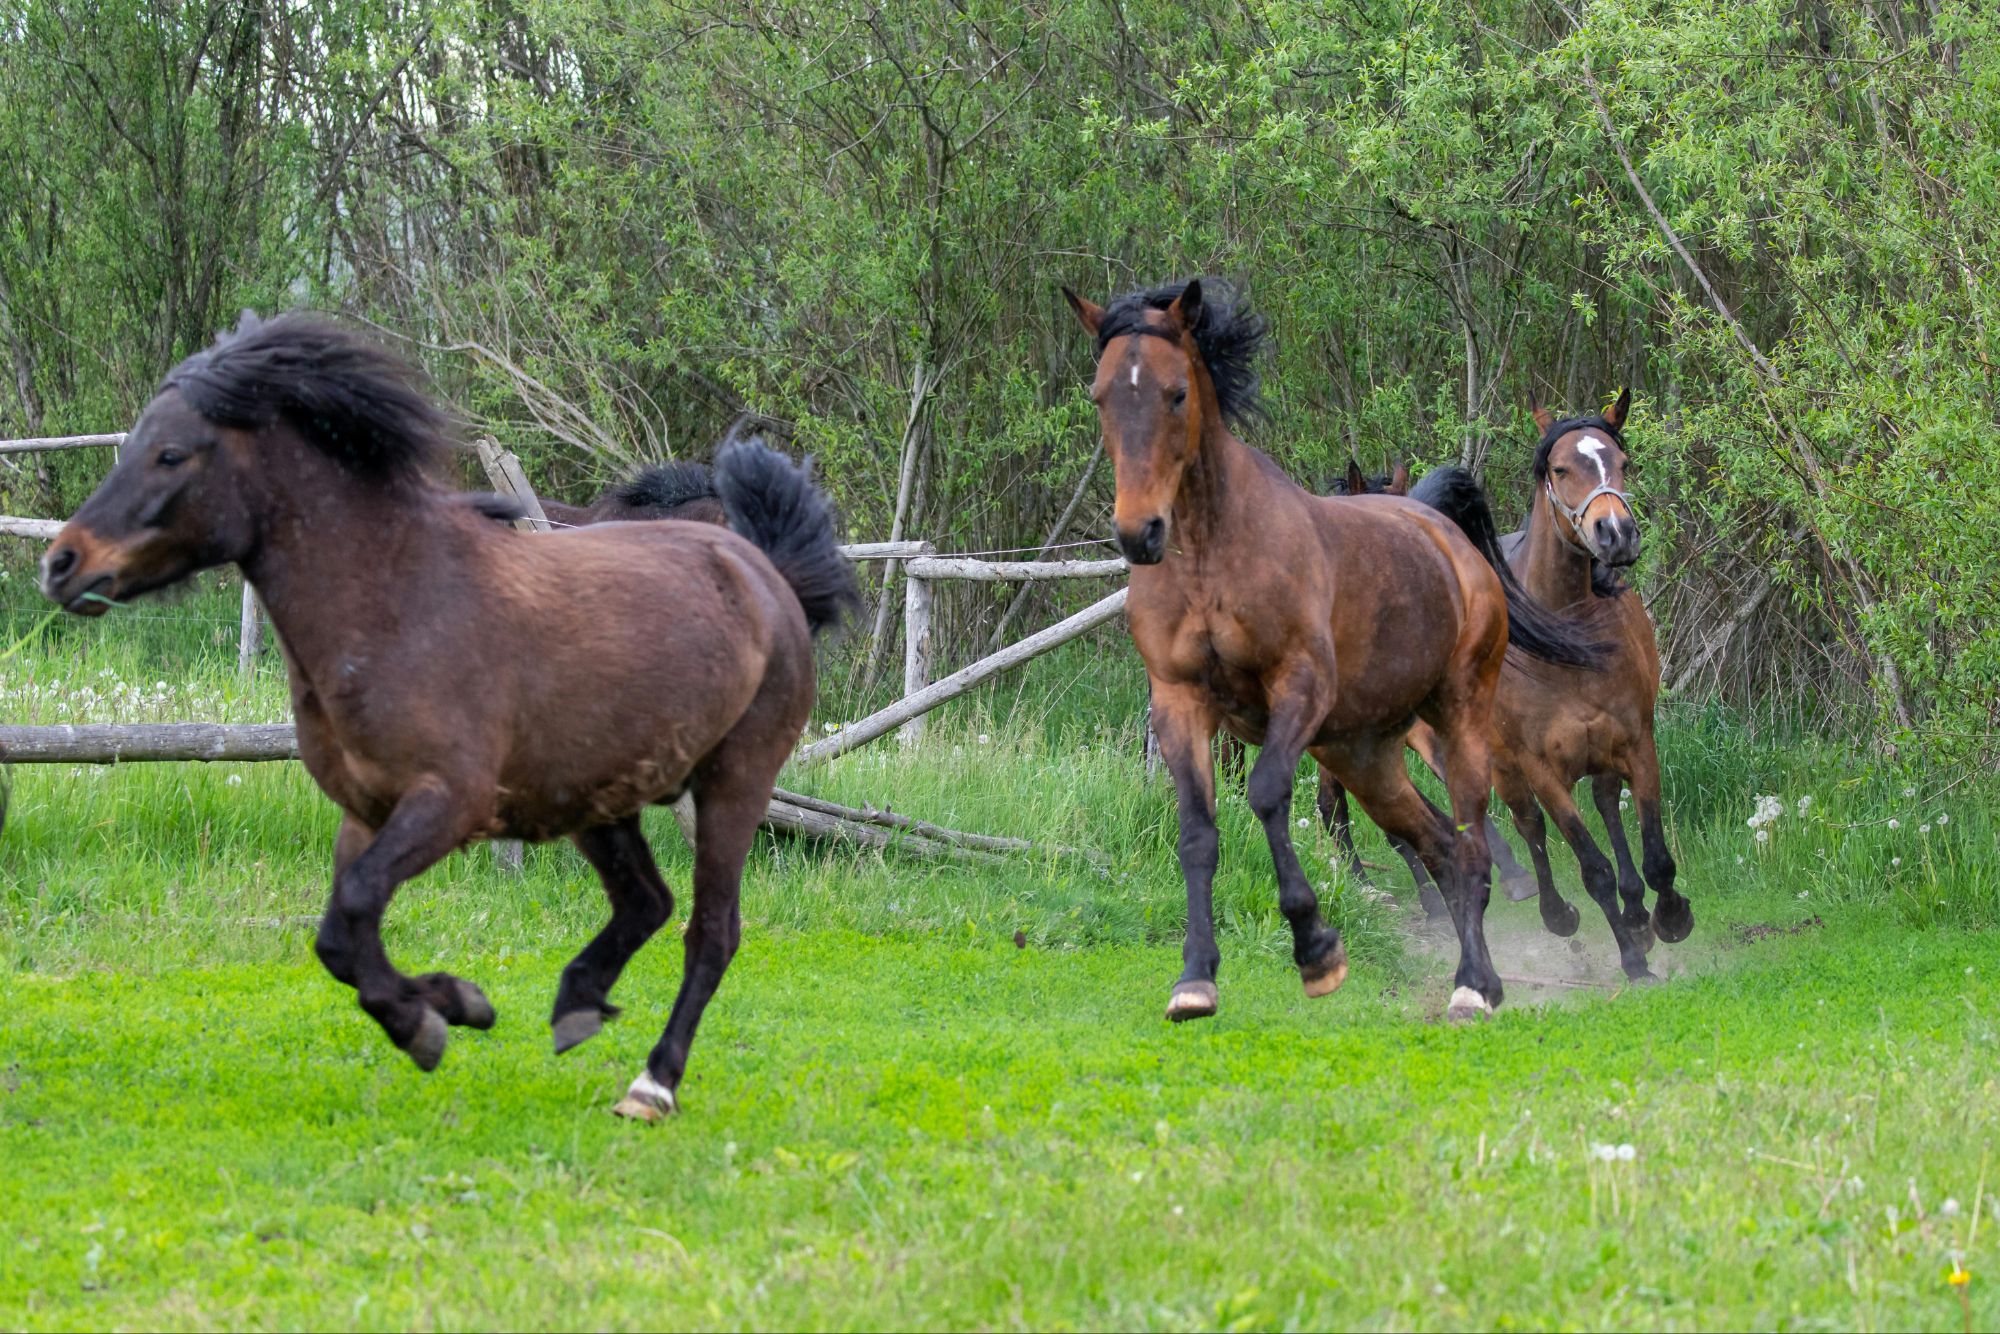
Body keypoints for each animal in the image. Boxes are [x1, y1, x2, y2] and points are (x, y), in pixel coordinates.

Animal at [39, 313, 858, 1119]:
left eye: (172, 453)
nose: (62, 563)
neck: (397, 606)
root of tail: (764, 575)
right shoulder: (367, 810)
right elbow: (340, 937)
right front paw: (452, 1006)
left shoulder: (450, 801)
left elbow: (355, 909)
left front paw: (431, 1019)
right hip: (596, 797)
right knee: (645, 903)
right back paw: (577, 1005)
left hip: (733, 784)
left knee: (711, 932)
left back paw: (652, 1086)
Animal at [1065, 278, 1605, 1022]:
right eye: (1101, 395)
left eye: (1176, 394)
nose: (1138, 532)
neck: (1210, 557)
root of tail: (1441, 532)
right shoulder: (1180, 702)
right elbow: (1198, 831)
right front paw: (1195, 978)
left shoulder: (1299, 688)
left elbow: (1267, 792)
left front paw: (1316, 948)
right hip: (1363, 753)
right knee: (1436, 844)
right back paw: (1480, 966)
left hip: (1455, 719)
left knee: (1469, 844)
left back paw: (1474, 983)